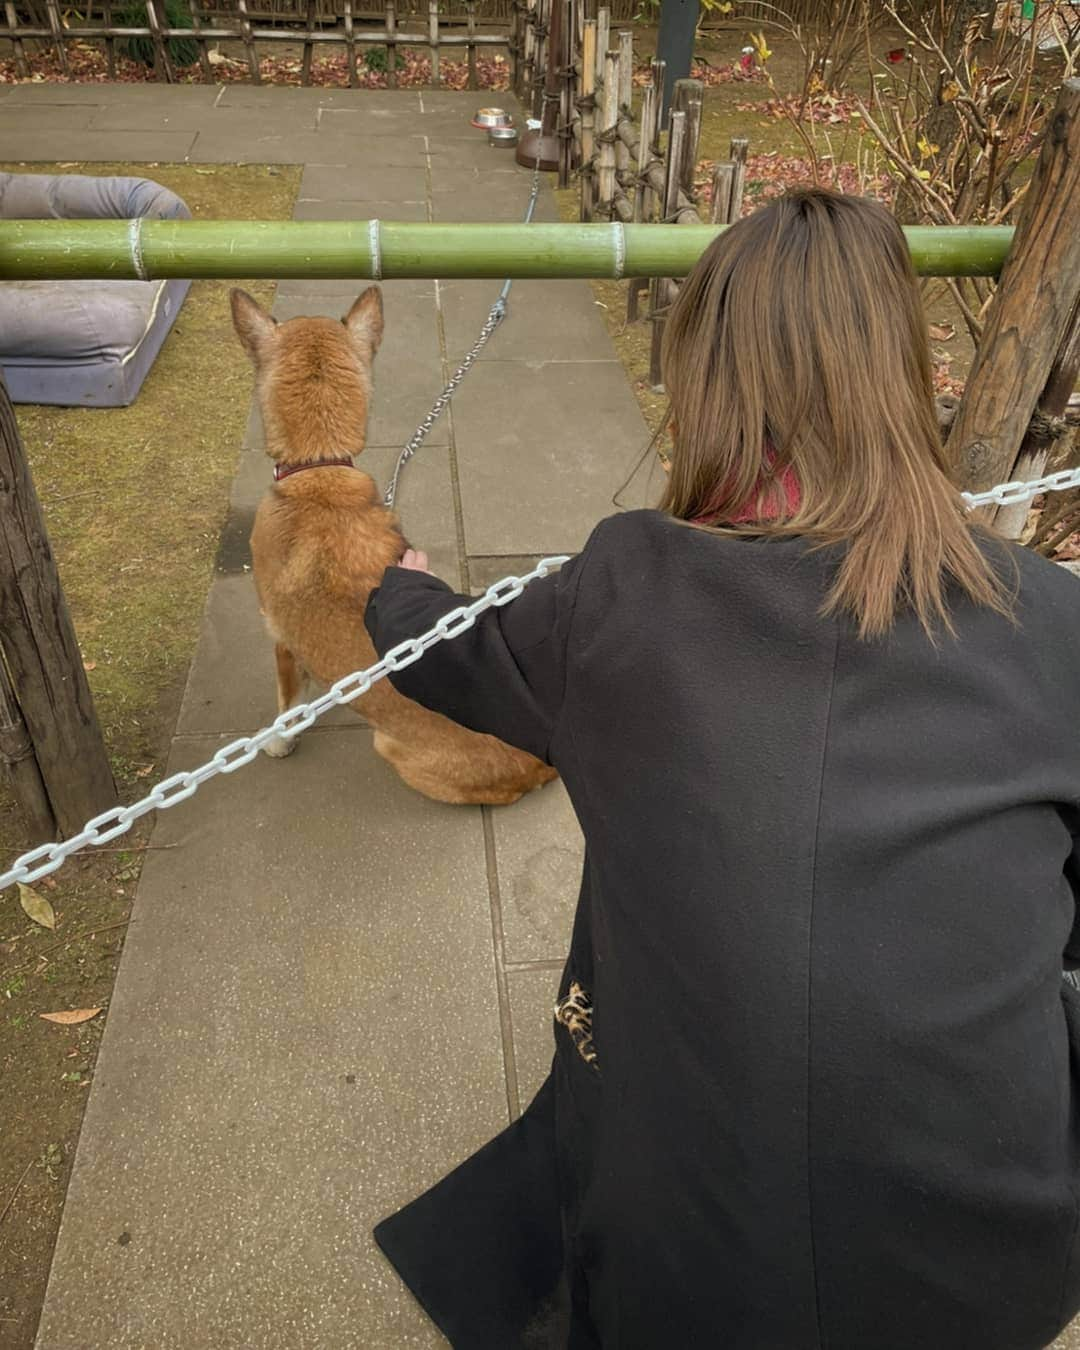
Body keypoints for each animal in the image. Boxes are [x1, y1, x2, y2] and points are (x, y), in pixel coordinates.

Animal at [229, 286, 556, 804]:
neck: (319, 468)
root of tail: (540, 764)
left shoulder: (280, 639)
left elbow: (287, 707)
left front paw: (279, 741)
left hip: (389, 746)